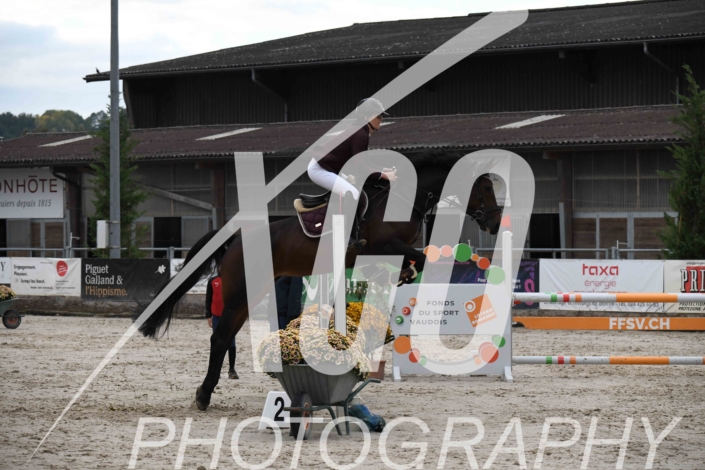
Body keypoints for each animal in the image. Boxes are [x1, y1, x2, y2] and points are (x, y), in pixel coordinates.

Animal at [138, 153, 503, 410]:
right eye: (485, 188)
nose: (496, 224)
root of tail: (236, 238)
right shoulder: (384, 245)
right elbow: (422, 259)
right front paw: (405, 274)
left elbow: (415, 261)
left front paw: (401, 275)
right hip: (240, 293)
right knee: (219, 337)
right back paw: (203, 396)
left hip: (248, 295)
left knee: (224, 336)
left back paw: (206, 393)